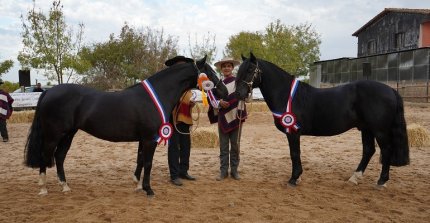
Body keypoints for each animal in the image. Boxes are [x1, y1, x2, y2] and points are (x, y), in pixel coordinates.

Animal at [235, 53, 410, 189]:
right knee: (368, 150)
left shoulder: (293, 133)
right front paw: (297, 177)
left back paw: (381, 181)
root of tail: (391, 90)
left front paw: (294, 179)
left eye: (250, 70)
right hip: (366, 128)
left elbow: (294, 153)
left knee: (386, 150)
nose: (238, 94)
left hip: (379, 130)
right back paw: (354, 178)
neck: (286, 94)